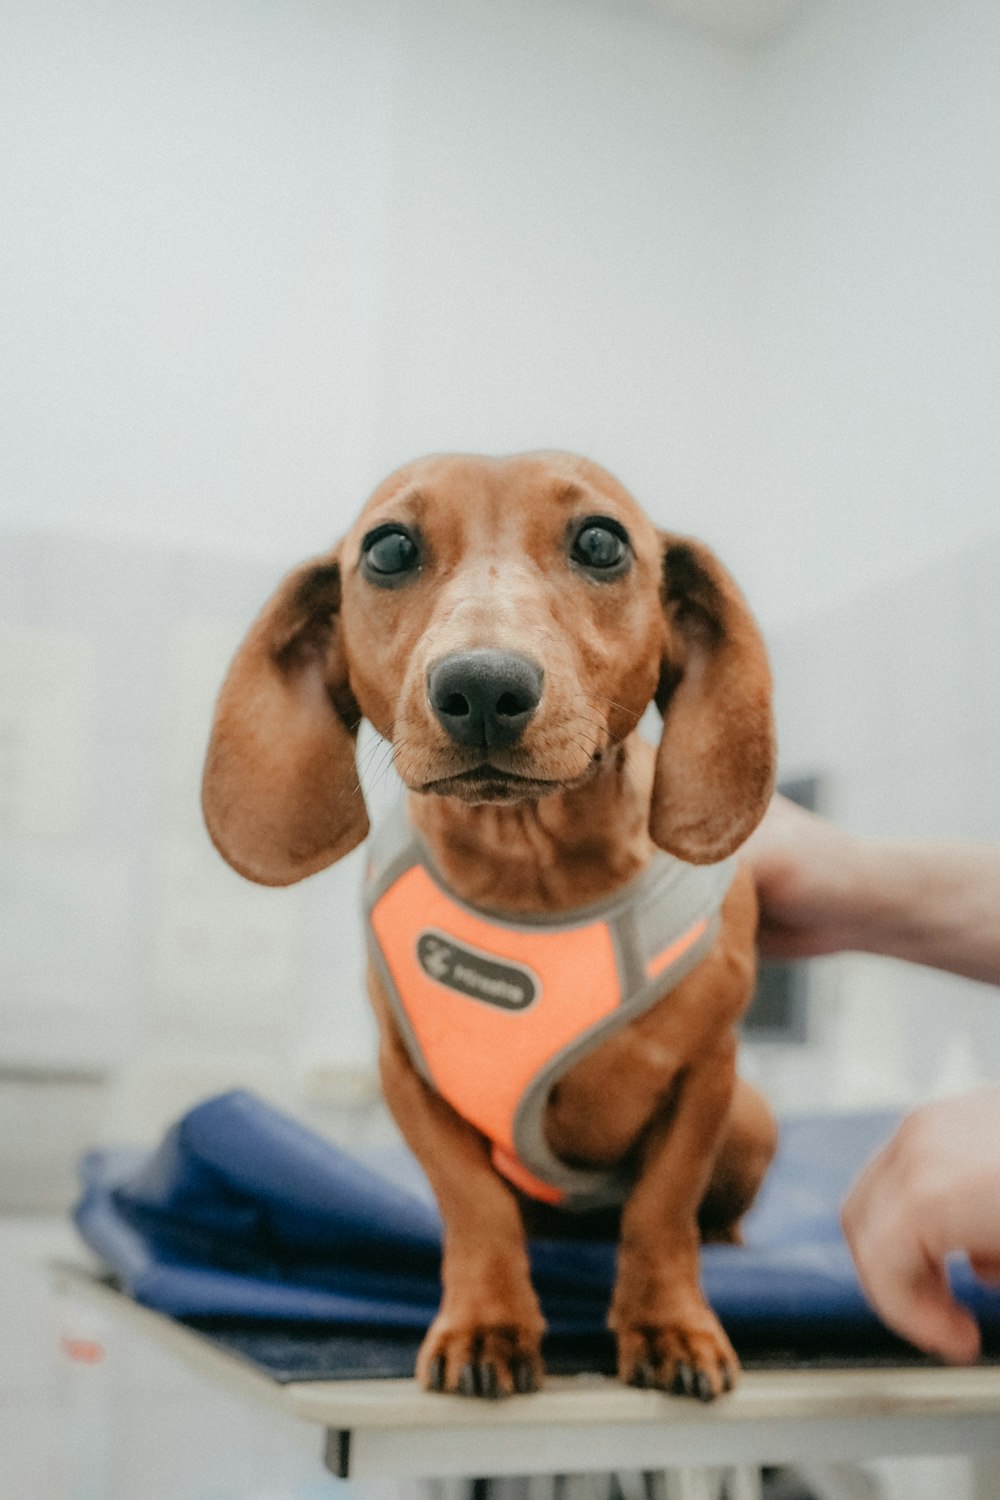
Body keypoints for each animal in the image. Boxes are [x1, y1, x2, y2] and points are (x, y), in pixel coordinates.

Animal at [203, 450, 779, 1398]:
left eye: (601, 542)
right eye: (389, 549)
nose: (480, 685)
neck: (532, 877)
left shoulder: (706, 1073)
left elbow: (662, 1211)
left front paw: (670, 1324)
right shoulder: (411, 1077)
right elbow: (474, 1207)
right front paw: (488, 1325)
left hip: (753, 1119)